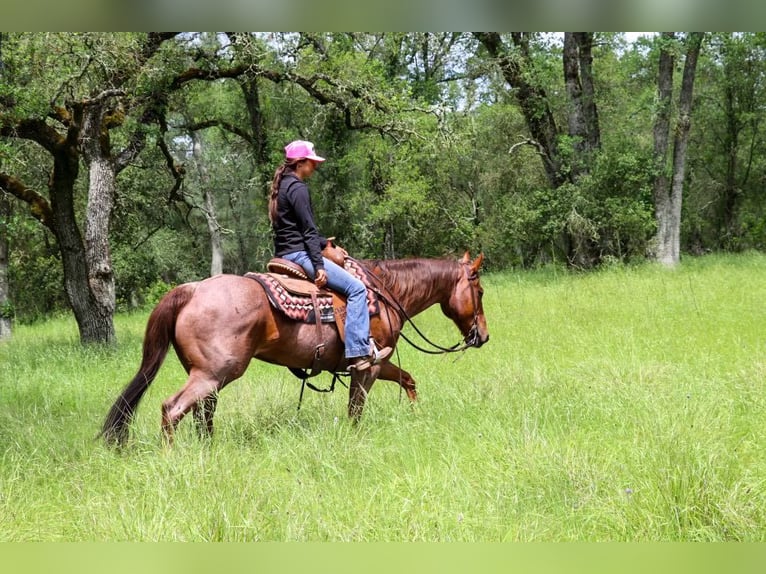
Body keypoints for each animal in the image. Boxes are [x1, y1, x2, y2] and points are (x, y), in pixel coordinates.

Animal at [100, 250, 492, 448]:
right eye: (481, 291)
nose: (483, 336)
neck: (384, 293)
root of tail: (192, 289)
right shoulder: (369, 366)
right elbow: (356, 409)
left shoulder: (376, 365)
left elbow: (408, 380)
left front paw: (414, 414)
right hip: (214, 372)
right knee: (173, 409)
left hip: (206, 375)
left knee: (202, 413)